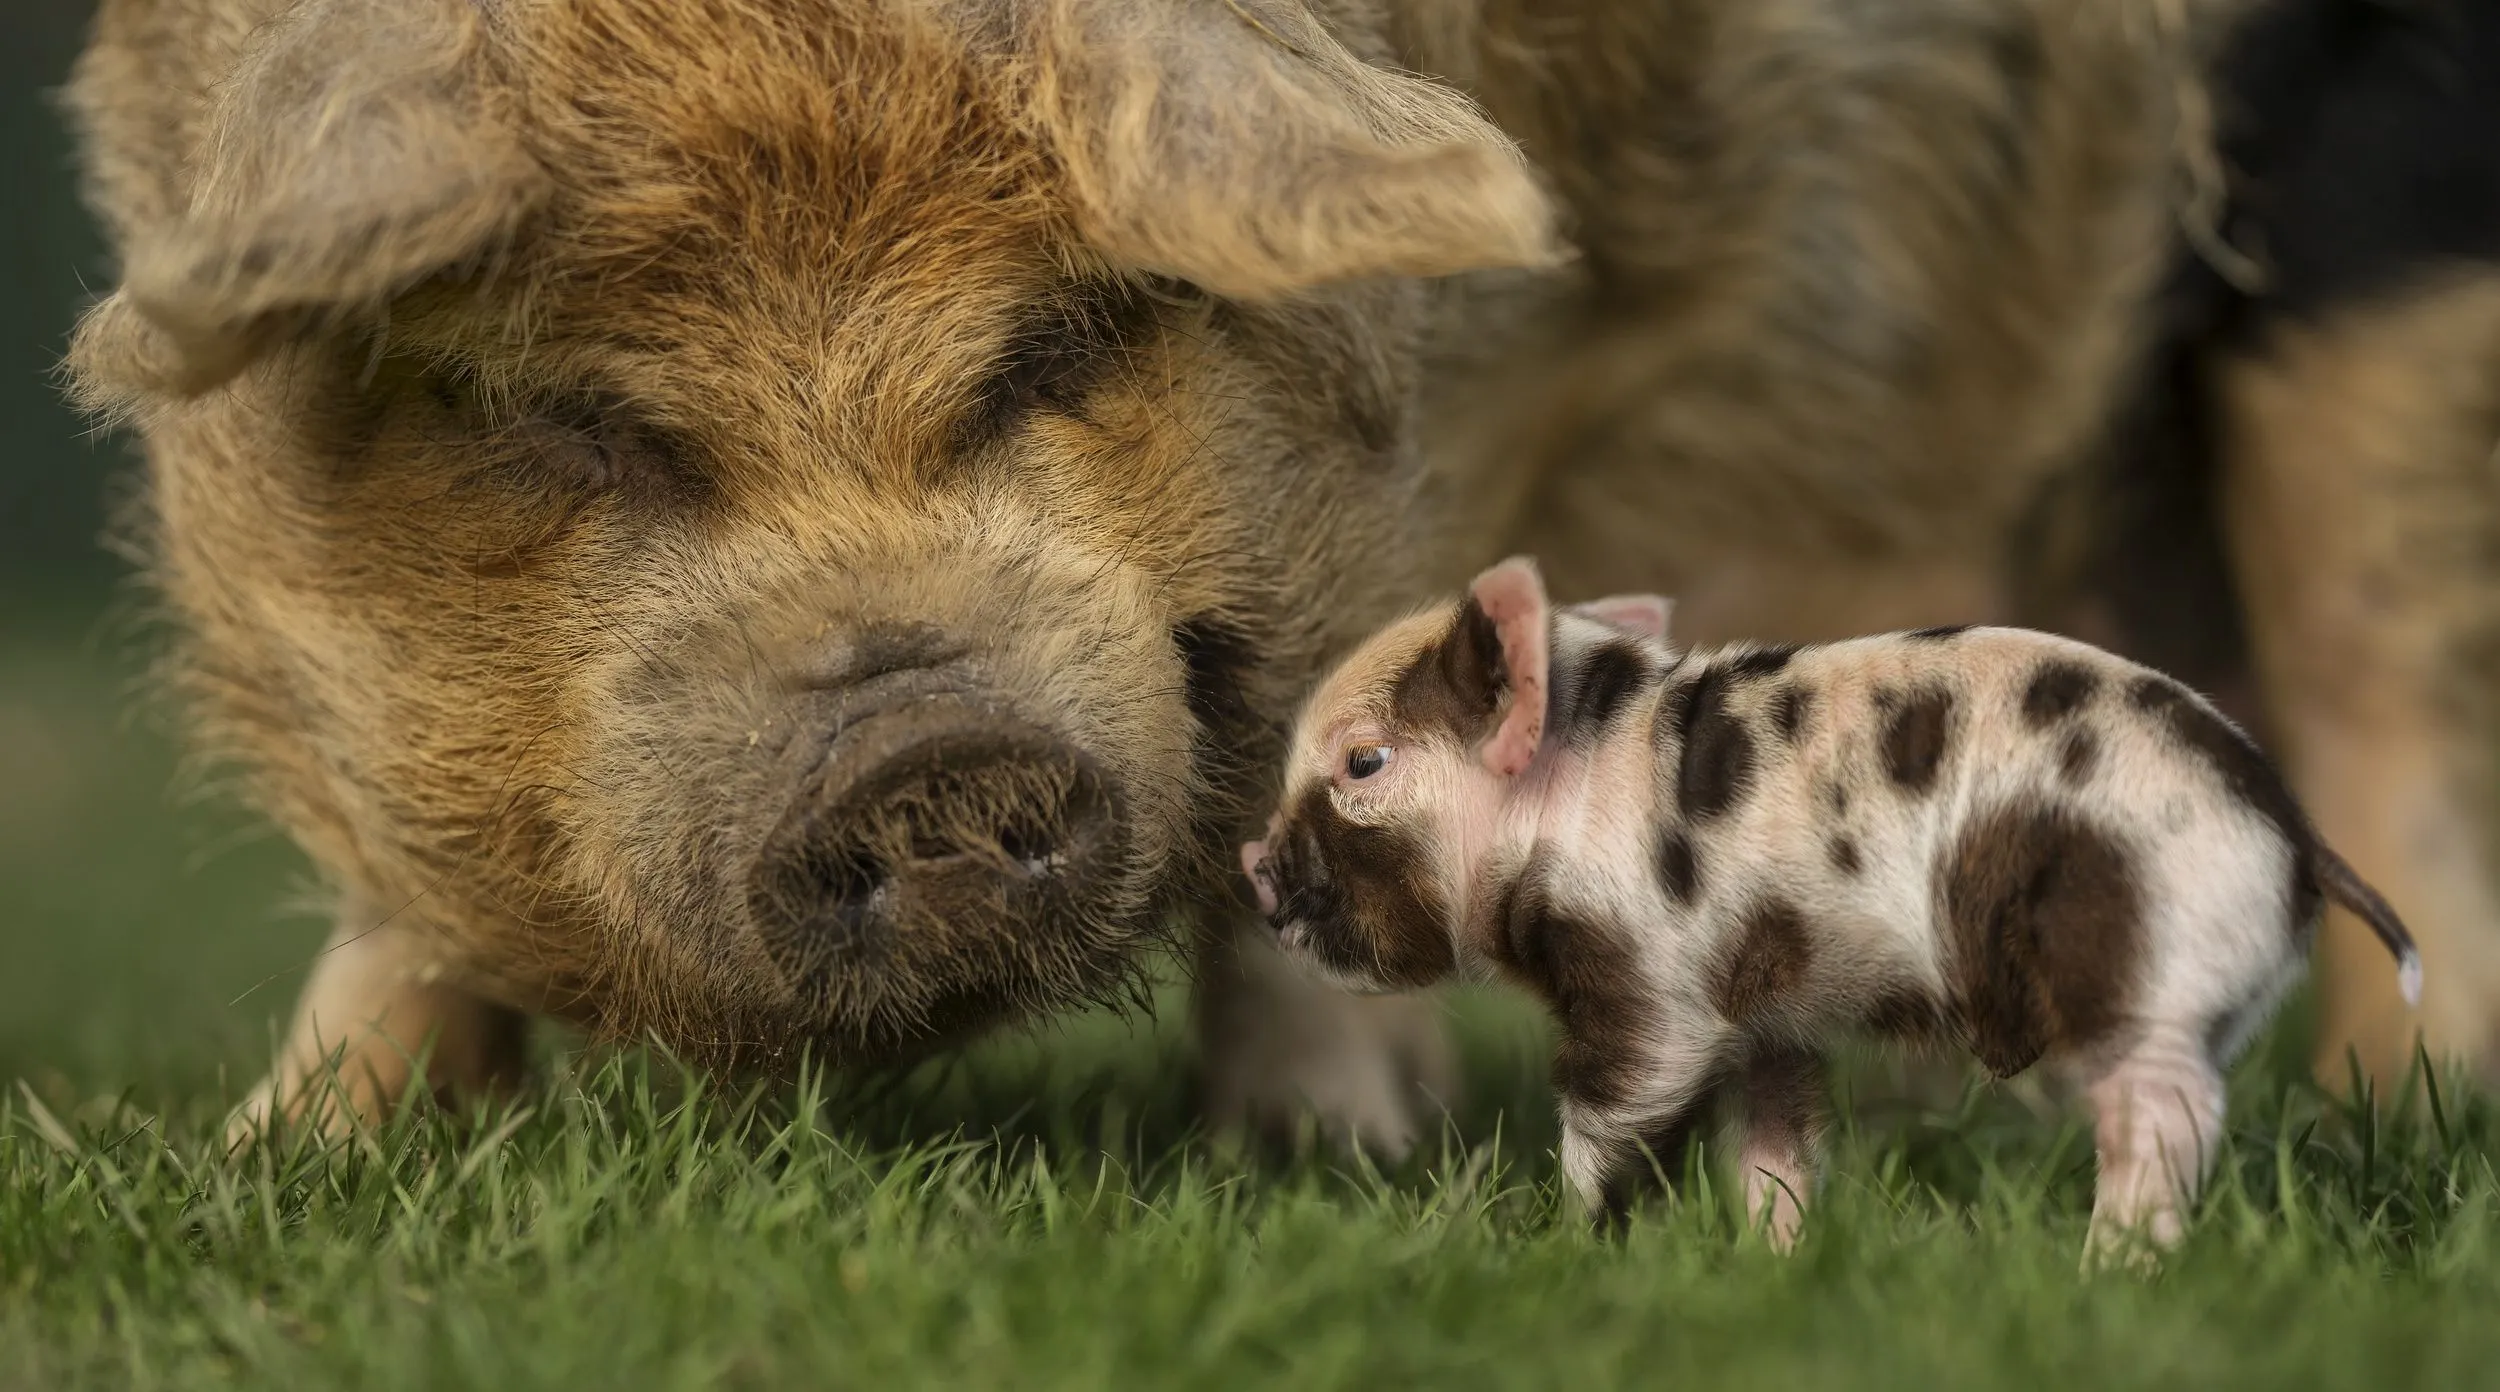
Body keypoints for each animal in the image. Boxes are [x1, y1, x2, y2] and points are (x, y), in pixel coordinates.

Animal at [1242, 557, 2420, 1255]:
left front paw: (1564, 1247)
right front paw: (1778, 1265)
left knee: (2162, 1112)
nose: (1252, 864)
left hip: (2135, 964)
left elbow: (1614, 1110)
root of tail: (2296, 836)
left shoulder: (1647, 982)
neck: (1570, 797)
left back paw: (2110, 1273)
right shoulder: (1772, 1012)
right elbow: (1776, 1140)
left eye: (1363, 761)